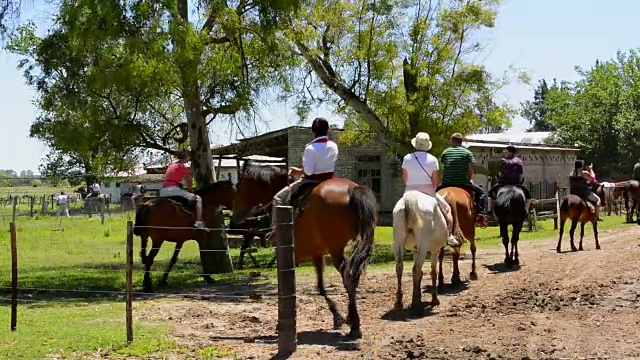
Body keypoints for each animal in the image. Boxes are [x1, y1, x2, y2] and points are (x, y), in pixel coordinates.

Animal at [231, 162, 378, 338]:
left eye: (239, 186)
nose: (234, 220)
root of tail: (352, 189)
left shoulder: (290, 255)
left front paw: (280, 324)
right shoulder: (317, 254)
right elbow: (320, 287)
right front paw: (337, 317)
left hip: (336, 249)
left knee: (348, 277)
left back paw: (354, 324)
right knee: (353, 277)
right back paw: (352, 320)